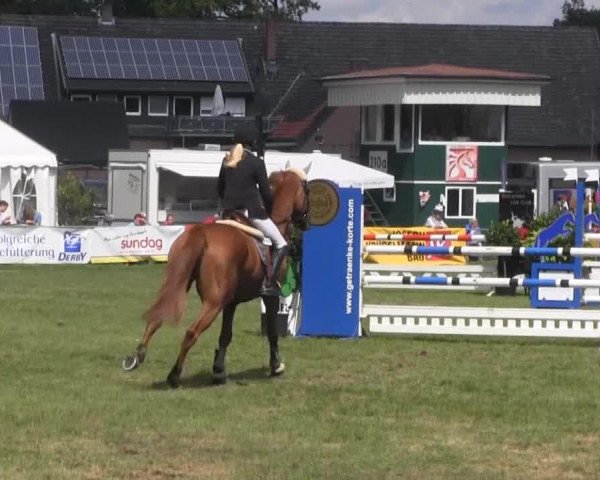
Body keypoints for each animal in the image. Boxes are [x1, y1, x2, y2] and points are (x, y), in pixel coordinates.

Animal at [120, 165, 310, 386]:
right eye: (307, 190)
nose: (306, 221)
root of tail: (201, 233)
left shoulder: (231, 302)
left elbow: (225, 335)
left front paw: (218, 371)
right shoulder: (270, 295)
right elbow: (272, 333)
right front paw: (276, 366)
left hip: (180, 287)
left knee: (156, 318)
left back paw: (137, 357)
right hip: (214, 302)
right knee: (191, 332)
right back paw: (174, 374)